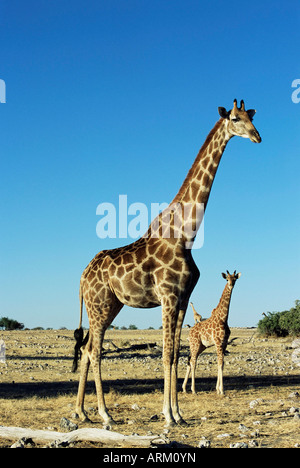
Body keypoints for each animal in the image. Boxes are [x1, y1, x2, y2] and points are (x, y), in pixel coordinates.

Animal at [72, 98, 260, 428]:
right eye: (236, 119)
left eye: (251, 118)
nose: (257, 136)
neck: (186, 235)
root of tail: (82, 276)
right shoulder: (168, 296)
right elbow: (164, 353)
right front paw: (169, 416)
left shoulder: (183, 298)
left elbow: (173, 354)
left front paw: (178, 414)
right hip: (98, 306)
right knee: (94, 351)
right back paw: (105, 414)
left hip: (110, 306)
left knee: (86, 349)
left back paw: (82, 411)